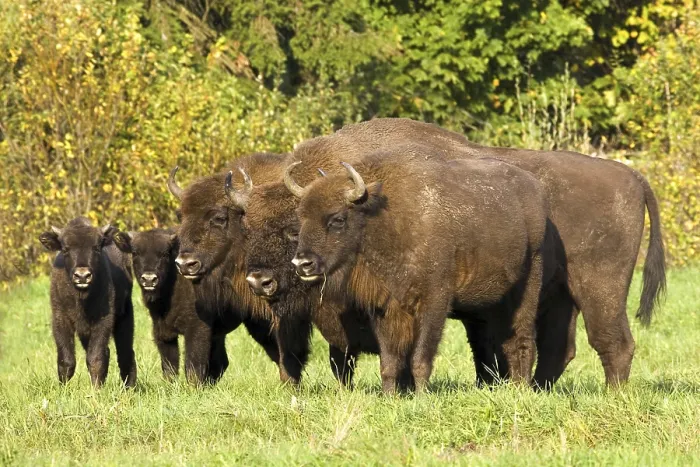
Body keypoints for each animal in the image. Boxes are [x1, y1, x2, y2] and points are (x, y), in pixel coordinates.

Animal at [39, 217, 136, 388]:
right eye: (65, 249)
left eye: (96, 247)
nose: (82, 275)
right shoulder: (60, 319)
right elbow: (66, 361)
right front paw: (63, 390)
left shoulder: (103, 320)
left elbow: (95, 358)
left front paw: (96, 390)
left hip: (125, 316)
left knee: (125, 353)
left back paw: (129, 387)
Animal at [112, 228, 222, 384]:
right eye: (135, 252)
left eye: (165, 253)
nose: (149, 279)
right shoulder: (163, 332)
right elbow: (169, 365)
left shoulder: (198, 329)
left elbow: (193, 365)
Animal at [240, 118, 665, 389]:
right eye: (246, 227)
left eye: (290, 228)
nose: (260, 281)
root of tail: (630, 176)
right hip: (560, 297)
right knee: (559, 349)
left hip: (600, 290)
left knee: (613, 342)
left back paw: (613, 397)